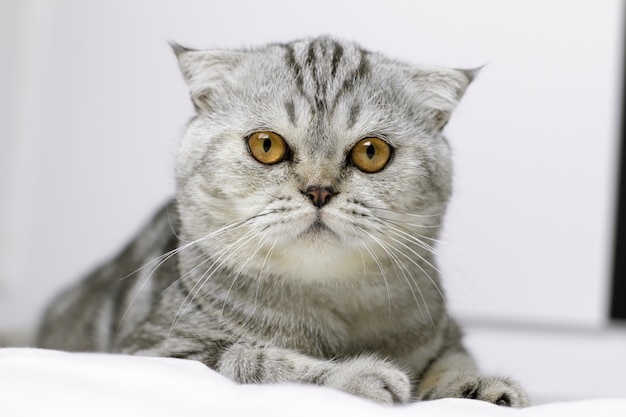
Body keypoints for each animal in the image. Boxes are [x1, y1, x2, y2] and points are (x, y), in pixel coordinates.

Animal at [35, 36, 528, 406]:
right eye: (266, 145)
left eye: (371, 152)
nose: (319, 191)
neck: (329, 304)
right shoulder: (159, 351)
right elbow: (258, 360)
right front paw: (357, 376)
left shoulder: (446, 335)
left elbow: (454, 360)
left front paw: (478, 386)